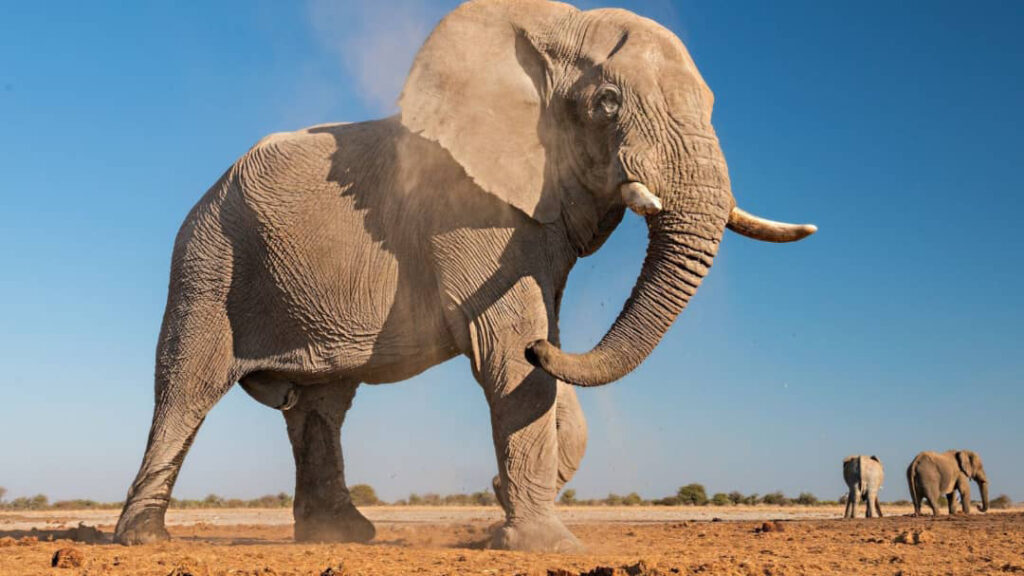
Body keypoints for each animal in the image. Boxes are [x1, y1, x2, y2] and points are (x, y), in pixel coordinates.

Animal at [114, 0, 816, 551]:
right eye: (607, 103)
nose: (492, 490)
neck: (553, 25)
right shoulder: (466, 206)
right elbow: (506, 346)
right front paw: (544, 544)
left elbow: (542, 350)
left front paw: (507, 508)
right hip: (208, 258)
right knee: (187, 386)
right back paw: (143, 538)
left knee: (322, 404)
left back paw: (343, 536)